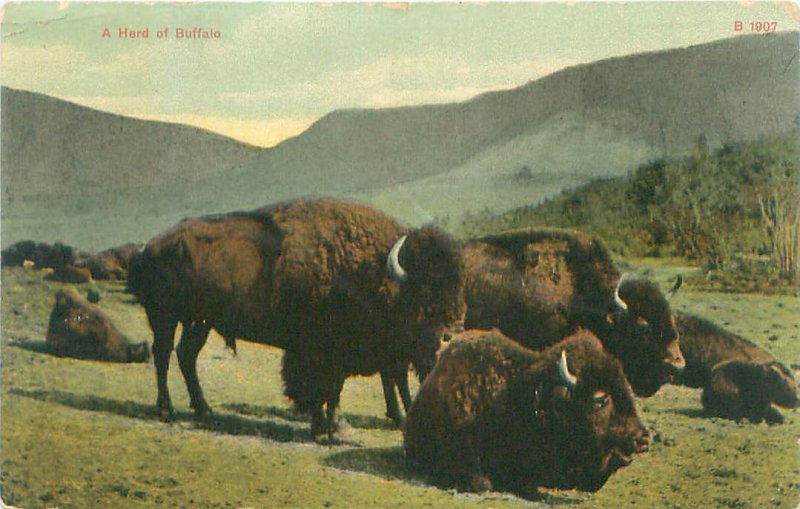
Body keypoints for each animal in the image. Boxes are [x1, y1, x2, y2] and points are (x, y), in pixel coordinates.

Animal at [128, 197, 466, 436]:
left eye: (457, 293)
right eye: (423, 296)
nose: (447, 340)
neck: (371, 273)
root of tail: (151, 246)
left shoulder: (338, 354)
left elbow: (334, 389)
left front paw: (331, 426)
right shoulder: (314, 350)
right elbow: (318, 386)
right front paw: (325, 429)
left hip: (200, 322)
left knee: (186, 355)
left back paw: (204, 411)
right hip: (164, 315)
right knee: (163, 354)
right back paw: (167, 412)